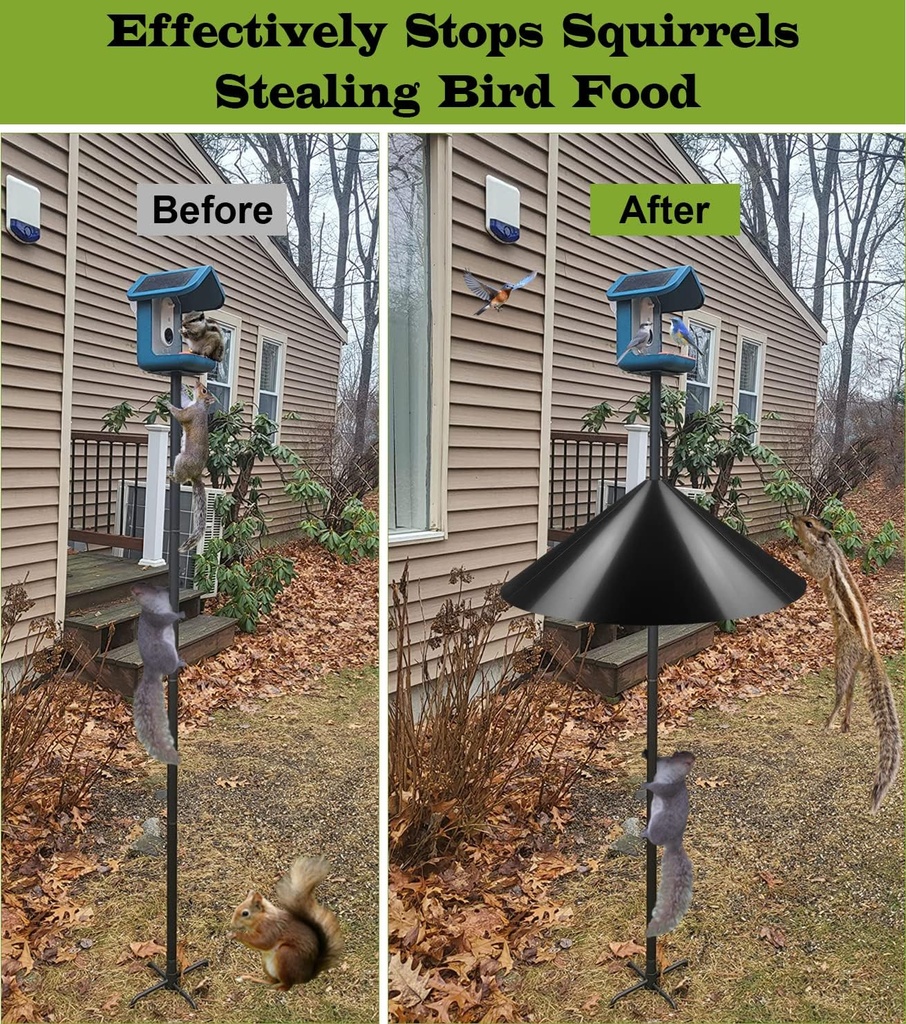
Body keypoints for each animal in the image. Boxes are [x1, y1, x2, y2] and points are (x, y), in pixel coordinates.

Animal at [129, 583, 184, 764]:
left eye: (152, 585)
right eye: (143, 588)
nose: (161, 588)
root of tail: (152, 670)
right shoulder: (155, 618)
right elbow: (167, 618)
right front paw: (180, 614)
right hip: (165, 650)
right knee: (169, 667)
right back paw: (179, 663)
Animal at [166, 383, 216, 553]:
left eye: (204, 391)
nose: (197, 383)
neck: (198, 404)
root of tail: (196, 474)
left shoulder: (190, 413)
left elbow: (180, 414)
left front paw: (167, 404)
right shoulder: (188, 404)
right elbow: (183, 400)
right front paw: (182, 387)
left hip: (181, 460)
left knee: (181, 479)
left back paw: (172, 475)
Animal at [228, 856, 343, 990]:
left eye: (245, 913)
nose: (232, 923)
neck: (262, 917)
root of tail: (306, 977)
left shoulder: (271, 928)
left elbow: (264, 941)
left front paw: (236, 935)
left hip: (286, 956)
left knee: (287, 985)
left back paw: (277, 988)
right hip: (266, 963)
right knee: (272, 980)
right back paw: (250, 978)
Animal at [641, 750, 695, 937]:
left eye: (687, 760)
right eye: (677, 754)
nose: (690, 758)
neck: (670, 768)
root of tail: (675, 842)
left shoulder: (672, 788)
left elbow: (659, 788)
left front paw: (646, 785)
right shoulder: (661, 764)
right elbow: (657, 761)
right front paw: (645, 754)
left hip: (660, 822)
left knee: (655, 838)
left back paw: (646, 833)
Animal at [792, 515, 902, 811]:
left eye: (808, 524)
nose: (792, 519)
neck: (829, 547)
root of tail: (869, 651)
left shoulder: (821, 564)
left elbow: (813, 568)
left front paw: (797, 553)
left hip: (842, 659)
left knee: (842, 695)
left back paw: (829, 723)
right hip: (851, 668)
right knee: (852, 697)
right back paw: (845, 724)